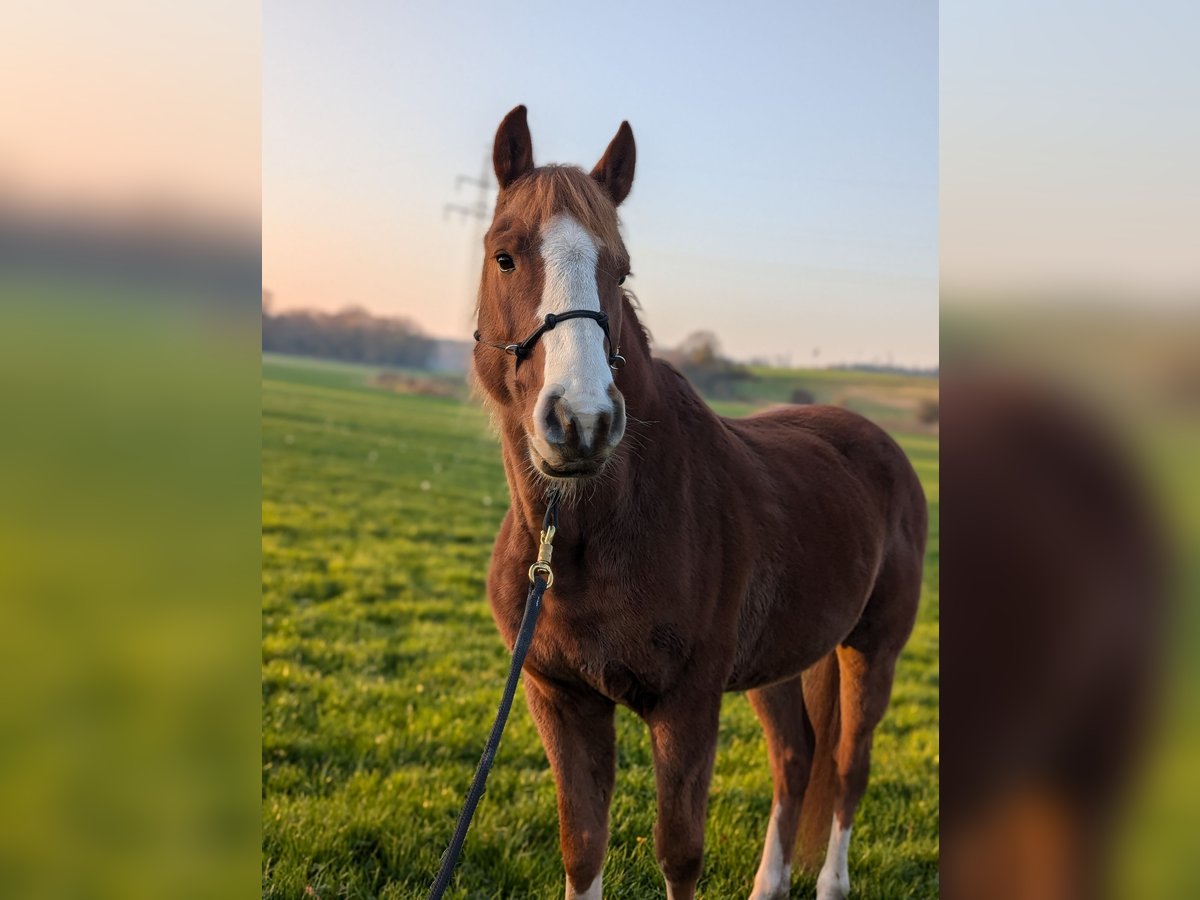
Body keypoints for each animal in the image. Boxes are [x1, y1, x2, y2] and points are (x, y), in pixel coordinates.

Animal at [472, 107, 921, 900]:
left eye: (619, 269)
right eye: (505, 256)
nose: (582, 421)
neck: (586, 532)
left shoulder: (687, 705)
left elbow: (679, 853)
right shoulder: (561, 699)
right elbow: (582, 847)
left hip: (874, 650)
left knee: (848, 767)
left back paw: (832, 883)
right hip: (783, 661)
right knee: (797, 759)